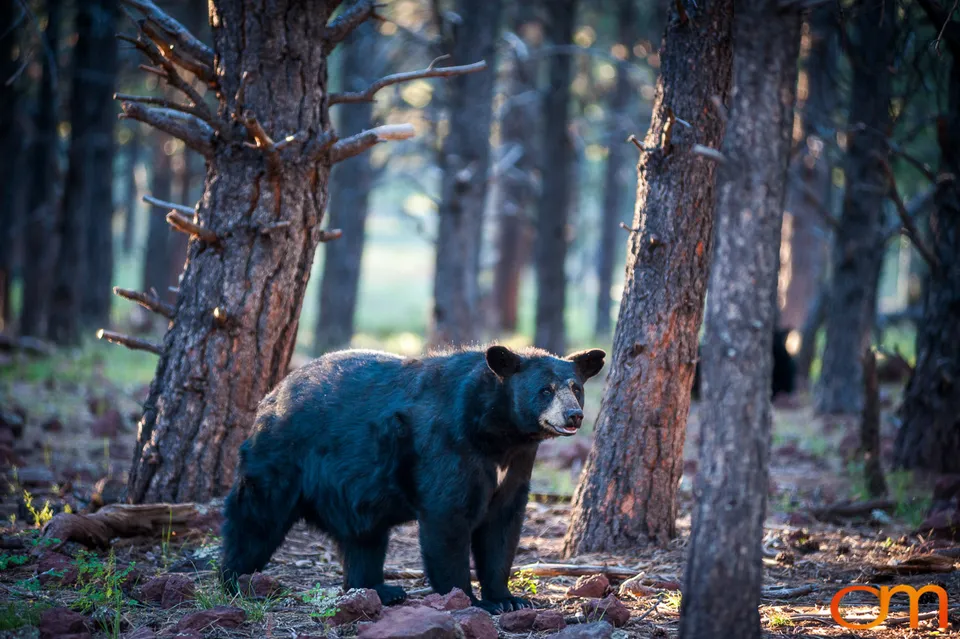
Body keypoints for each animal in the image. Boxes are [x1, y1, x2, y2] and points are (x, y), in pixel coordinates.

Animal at [219, 344, 605, 614]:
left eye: (575, 387)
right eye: (545, 389)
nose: (574, 415)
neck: (497, 433)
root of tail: (271, 395)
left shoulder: (516, 466)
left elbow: (502, 525)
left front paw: (508, 599)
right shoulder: (447, 444)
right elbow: (447, 517)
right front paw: (467, 598)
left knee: (364, 539)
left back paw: (380, 589)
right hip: (283, 457)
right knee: (256, 517)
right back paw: (236, 581)